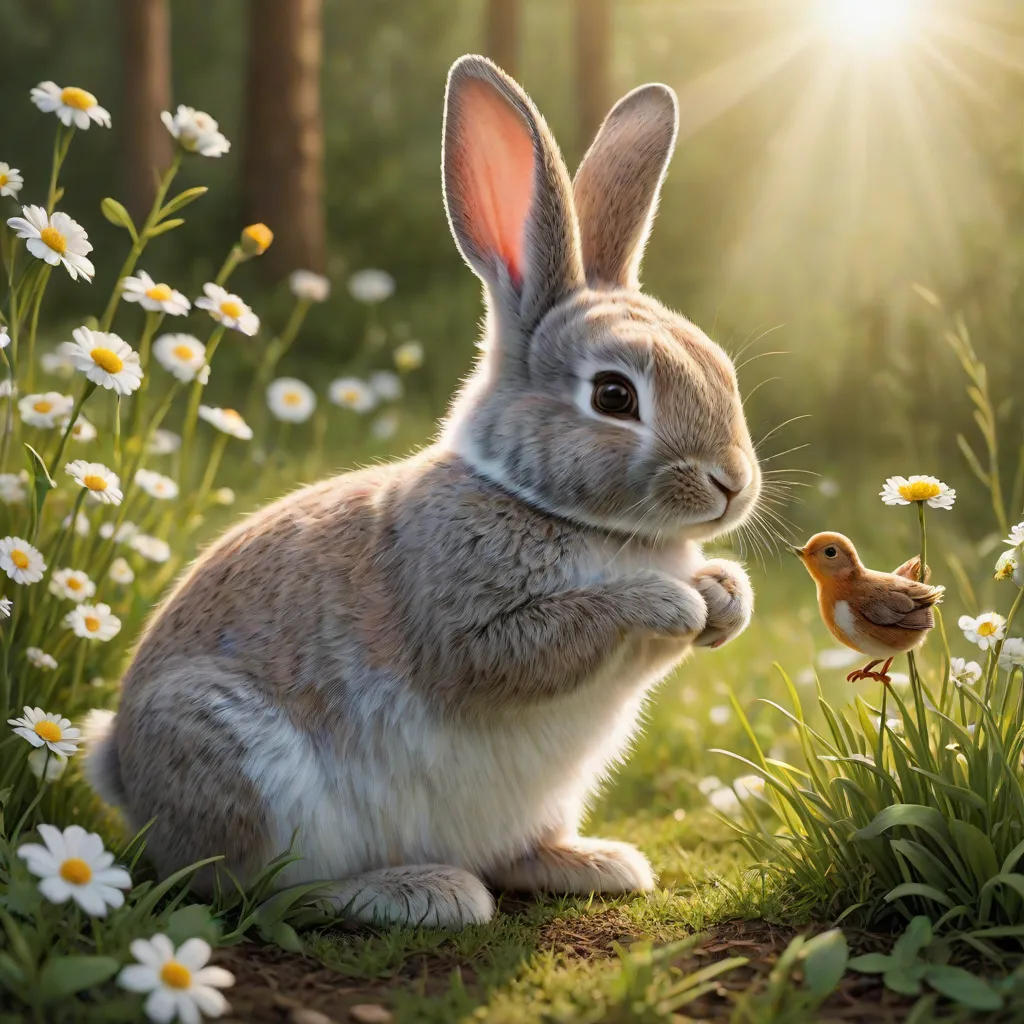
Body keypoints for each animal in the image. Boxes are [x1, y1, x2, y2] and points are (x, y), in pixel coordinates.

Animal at [85, 54, 760, 929]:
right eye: (615, 396)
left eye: (721, 369)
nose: (732, 485)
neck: (550, 506)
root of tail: (120, 770)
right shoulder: (470, 621)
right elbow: (534, 643)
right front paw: (672, 601)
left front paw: (725, 597)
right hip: (240, 764)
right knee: (259, 889)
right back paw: (421, 893)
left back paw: (594, 863)